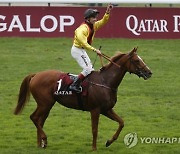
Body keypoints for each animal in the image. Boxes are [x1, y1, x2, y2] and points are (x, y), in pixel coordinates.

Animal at [14, 47, 152, 150]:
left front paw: (109, 141)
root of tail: (36, 75)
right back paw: (44, 139)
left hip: (47, 105)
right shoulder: (95, 110)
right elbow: (95, 129)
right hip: (45, 104)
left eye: (141, 59)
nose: (149, 72)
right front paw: (94, 148)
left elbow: (121, 122)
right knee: (34, 117)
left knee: (40, 121)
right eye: (136, 60)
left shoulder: (107, 109)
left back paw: (41, 143)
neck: (105, 81)